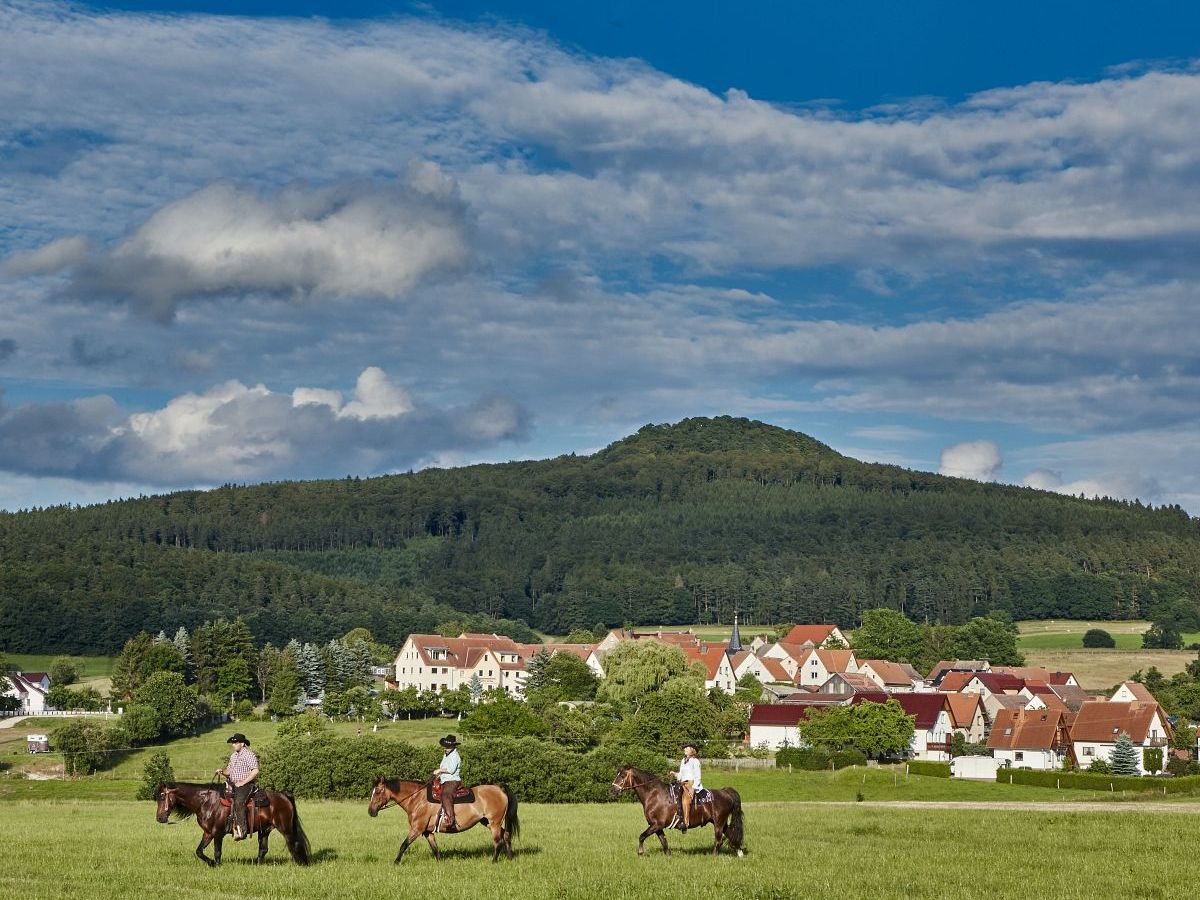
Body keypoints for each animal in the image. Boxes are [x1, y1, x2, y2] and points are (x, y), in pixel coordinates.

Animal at [362, 777, 518, 868]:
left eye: (378, 792)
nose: (370, 811)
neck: (416, 799)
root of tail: (499, 788)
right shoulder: (427, 832)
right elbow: (435, 848)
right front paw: (439, 862)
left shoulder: (417, 829)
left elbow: (404, 845)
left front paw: (396, 863)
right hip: (487, 822)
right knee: (506, 835)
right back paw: (510, 858)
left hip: (494, 823)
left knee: (497, 841)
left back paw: (494, 861)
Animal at [609, 768, 739, 859]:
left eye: (622, 775)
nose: (612, 791)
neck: (654, 795)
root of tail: (725, 792)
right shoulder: (657, 826)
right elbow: (664, 842)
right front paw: (669, 856)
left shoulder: (657, 825)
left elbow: (642, 836)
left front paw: (640, 852)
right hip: (722, 823)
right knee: (731, 836)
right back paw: (739, 853)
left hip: (718, 823)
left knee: (719, 840)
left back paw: (714, 856)